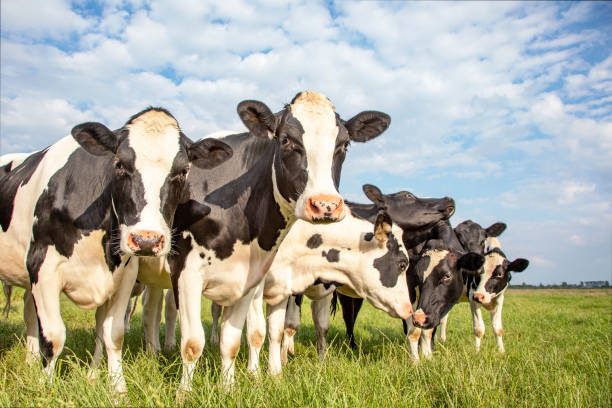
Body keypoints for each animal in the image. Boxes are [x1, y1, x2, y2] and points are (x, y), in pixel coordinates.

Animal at [0, 109, 232, 392]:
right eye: (119, 164)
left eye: (183, 170)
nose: (146, 240)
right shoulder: (41, 267)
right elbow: (53, 336)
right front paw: (45, 388)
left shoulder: (124, 275)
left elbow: (113, 334)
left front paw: (117, 389)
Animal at [165, 91, 390, 394]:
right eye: (286, 140)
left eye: (344, 144)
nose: (326, 205)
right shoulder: (186, 271)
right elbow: (195, 342)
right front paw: (185, 394)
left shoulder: (258, 278)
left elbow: (258, 333)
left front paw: (265, 376)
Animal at [440, 222, 532, 352]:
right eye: (478, 272)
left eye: (499, 274)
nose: (480, 296)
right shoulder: (472, 296)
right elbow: (479, 328)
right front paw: (477, 352)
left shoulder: (499, 298)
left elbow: (498, 328)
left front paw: (501, 351)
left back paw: (442, 340)